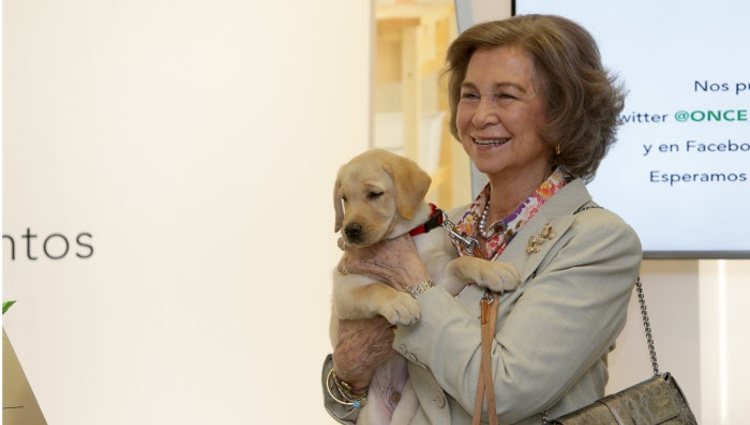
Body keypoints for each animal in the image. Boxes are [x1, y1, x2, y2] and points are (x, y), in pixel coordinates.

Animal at [332, 149, 520, 424]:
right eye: (344, 198)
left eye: (374, 194)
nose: (349, 231)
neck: (405, 235)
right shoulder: (345, 288)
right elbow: (375, 289)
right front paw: (400, 303)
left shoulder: (438, 282)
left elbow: (462, 263)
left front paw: (495, 270)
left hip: (408, 407)